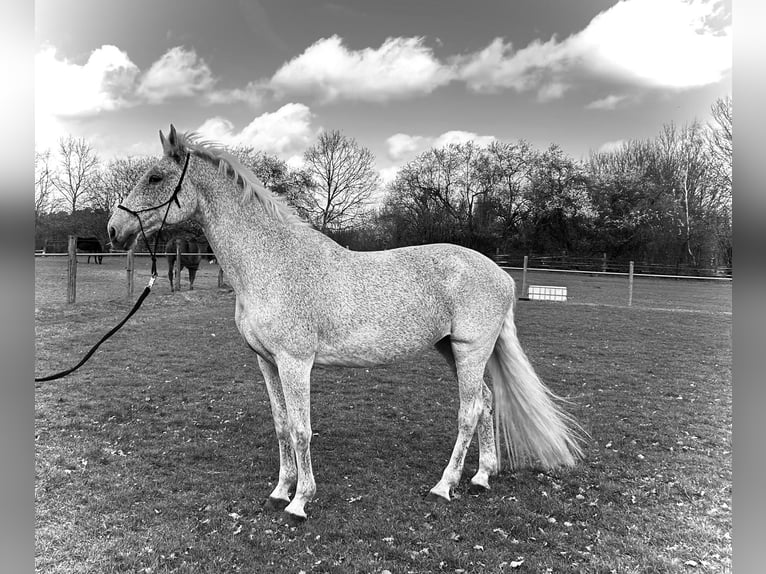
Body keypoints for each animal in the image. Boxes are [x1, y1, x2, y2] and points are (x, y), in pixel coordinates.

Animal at [107, 125, 584, 522]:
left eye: (154, 178)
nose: (114, 229)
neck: (272, 262)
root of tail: (500, 274)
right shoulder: (266, 362)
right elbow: (281, 426)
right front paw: (280, 490)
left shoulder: (295, 362)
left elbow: (301, 430)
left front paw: (300, 501)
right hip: (453, 350)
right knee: (485, 402)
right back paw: (483, 476)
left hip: (471, 350)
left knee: (469, 412)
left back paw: (444, 486)